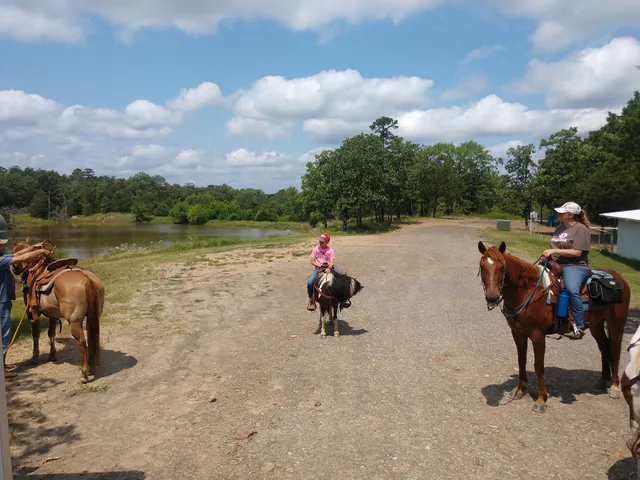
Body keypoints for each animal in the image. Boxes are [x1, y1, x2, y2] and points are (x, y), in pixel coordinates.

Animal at [12, 239, 104, 383]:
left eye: (14, 251)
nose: (14, 268)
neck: (35, 269)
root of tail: (87, 280)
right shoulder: (52, 315)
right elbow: (51, 333)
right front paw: (52, 356)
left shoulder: (33, 313)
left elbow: (36, 335)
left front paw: (34, 357)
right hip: (92, 317)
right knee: (91, 338)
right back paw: (91, 369)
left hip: (75, 321)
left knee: (82, 342)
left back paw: (84, 374)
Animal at [477, 241, 630, 413]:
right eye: (482, 266)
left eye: (502, 267)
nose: (492, 297)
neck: (528, 290)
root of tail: (619, 278)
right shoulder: (517, 333)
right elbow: (521, 360)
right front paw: (519, 390)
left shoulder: (537, 335)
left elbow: (539, 366)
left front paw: (541, 400)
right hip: (596, 325)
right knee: (604, 347)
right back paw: (602, 381)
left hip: (616, 324)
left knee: (615, 352)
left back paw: (614, 387)